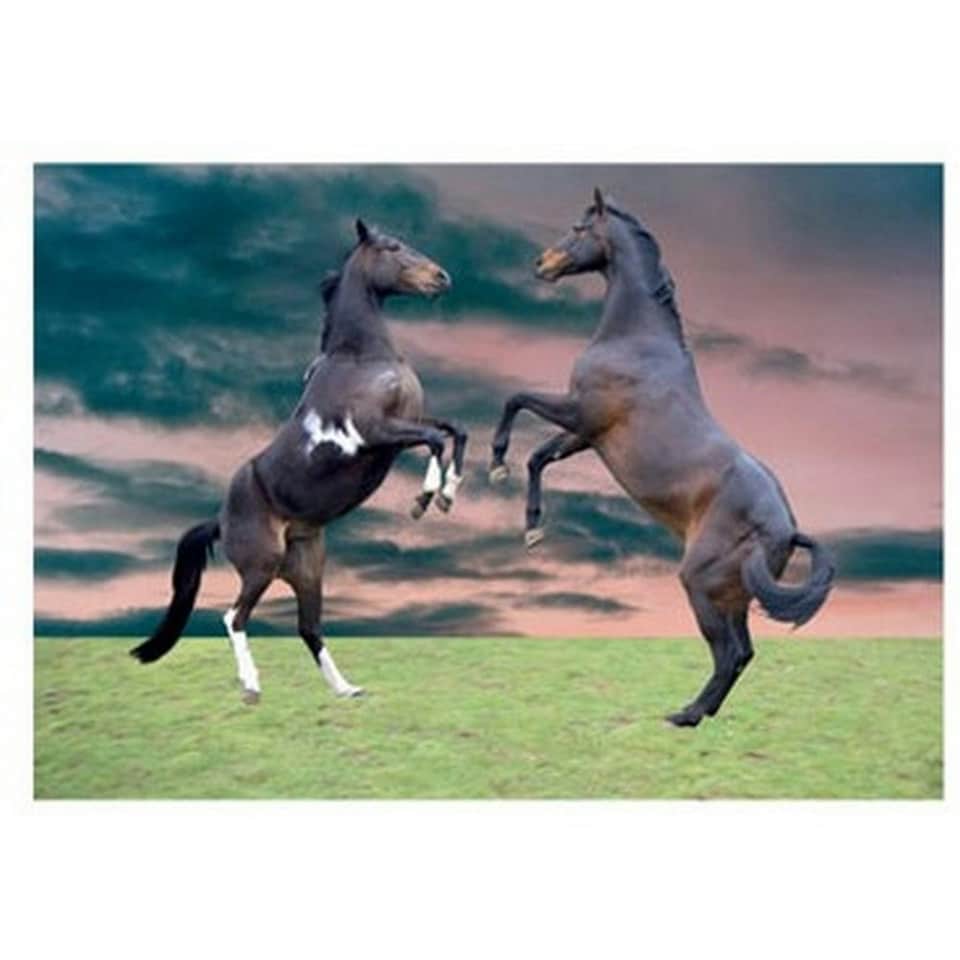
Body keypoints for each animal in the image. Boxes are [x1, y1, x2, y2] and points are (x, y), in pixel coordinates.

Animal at [131, 218, 468, 703]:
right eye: (392, 246)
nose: (441, 277)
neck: (362, 357)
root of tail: (220, 521)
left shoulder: (403, 428)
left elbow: (454, 431)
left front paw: (448, 494)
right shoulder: (378, 433)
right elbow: (437, 440)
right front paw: (425, 498)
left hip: (308, 570)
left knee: (309, 628)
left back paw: (346, 689)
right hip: (262, 566)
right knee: (234, 617)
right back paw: (251, 687)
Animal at [489, 189, 835, 727]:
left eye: (578, 228)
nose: (541, 263)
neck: (636, 341)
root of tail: (786, 528)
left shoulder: (579, 412)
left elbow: (515, 400)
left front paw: (496, 462)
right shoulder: (588, 435)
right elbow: (540, 458)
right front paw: (532, 529)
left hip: (700, 583)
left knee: (729, 653)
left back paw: (685, 716)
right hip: (731, 593)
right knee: (744, 652)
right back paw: (702, 712)